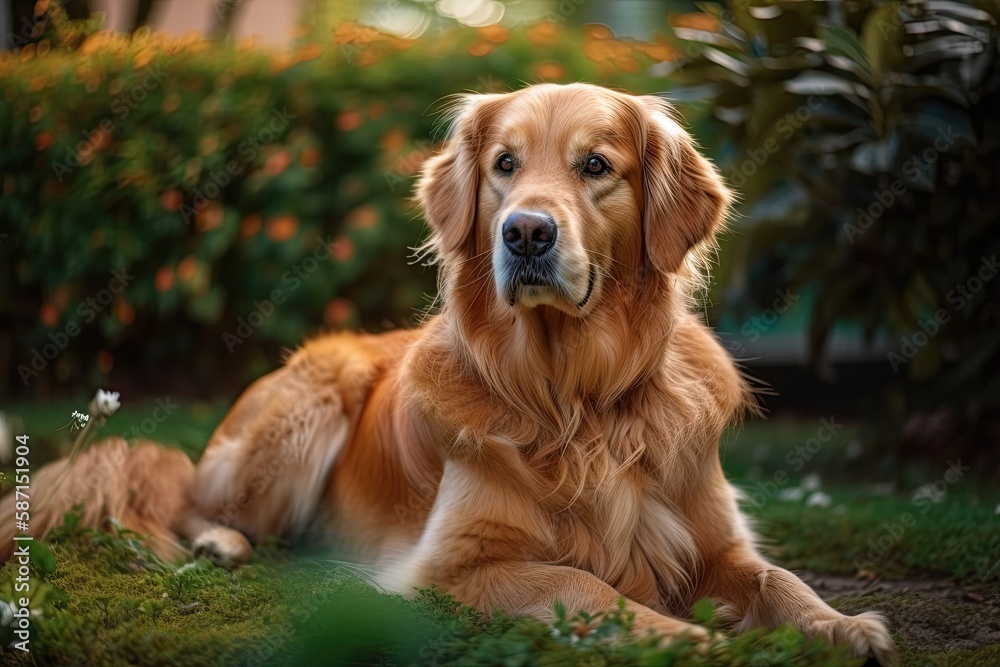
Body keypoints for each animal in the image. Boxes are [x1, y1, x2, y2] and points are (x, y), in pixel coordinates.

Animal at [0, 83, 896, 664]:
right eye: (504, 164)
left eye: (596, 166)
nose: (525, 232)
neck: (576, 398)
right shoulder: (457, 563)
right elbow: (587, 584)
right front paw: (691, 639)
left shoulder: (715, 538)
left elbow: (779, 577)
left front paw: (845, 625)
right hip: (306, 407)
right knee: (190, 499)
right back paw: (223, 539)